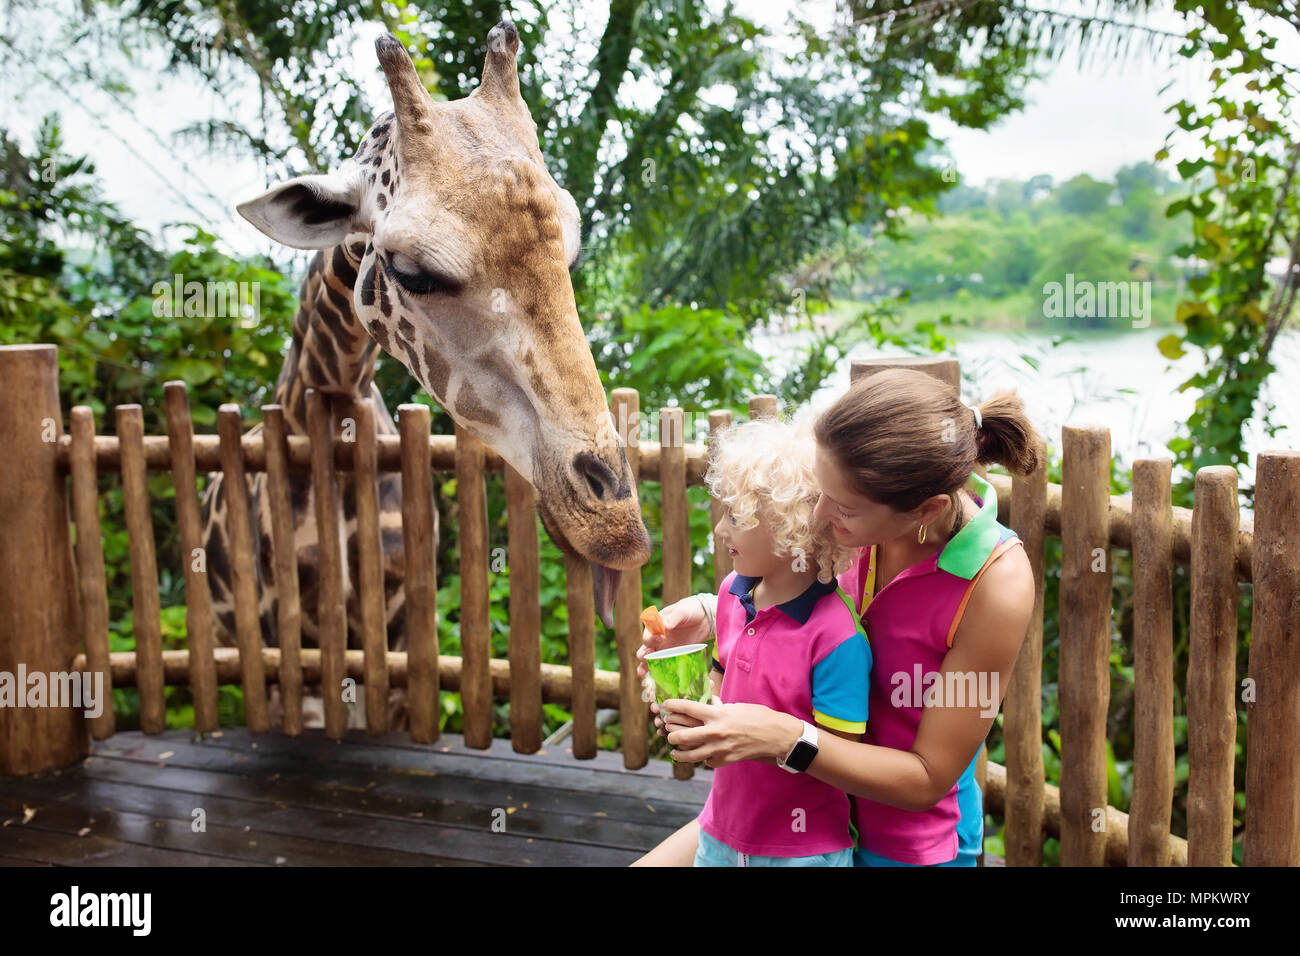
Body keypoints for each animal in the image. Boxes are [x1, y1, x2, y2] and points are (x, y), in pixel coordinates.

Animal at [206, 19, 652, 729]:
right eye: (413, 271)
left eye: (573, 248)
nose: (617, 526)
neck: (327, 406)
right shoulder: (286, 654)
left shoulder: (395, 634)